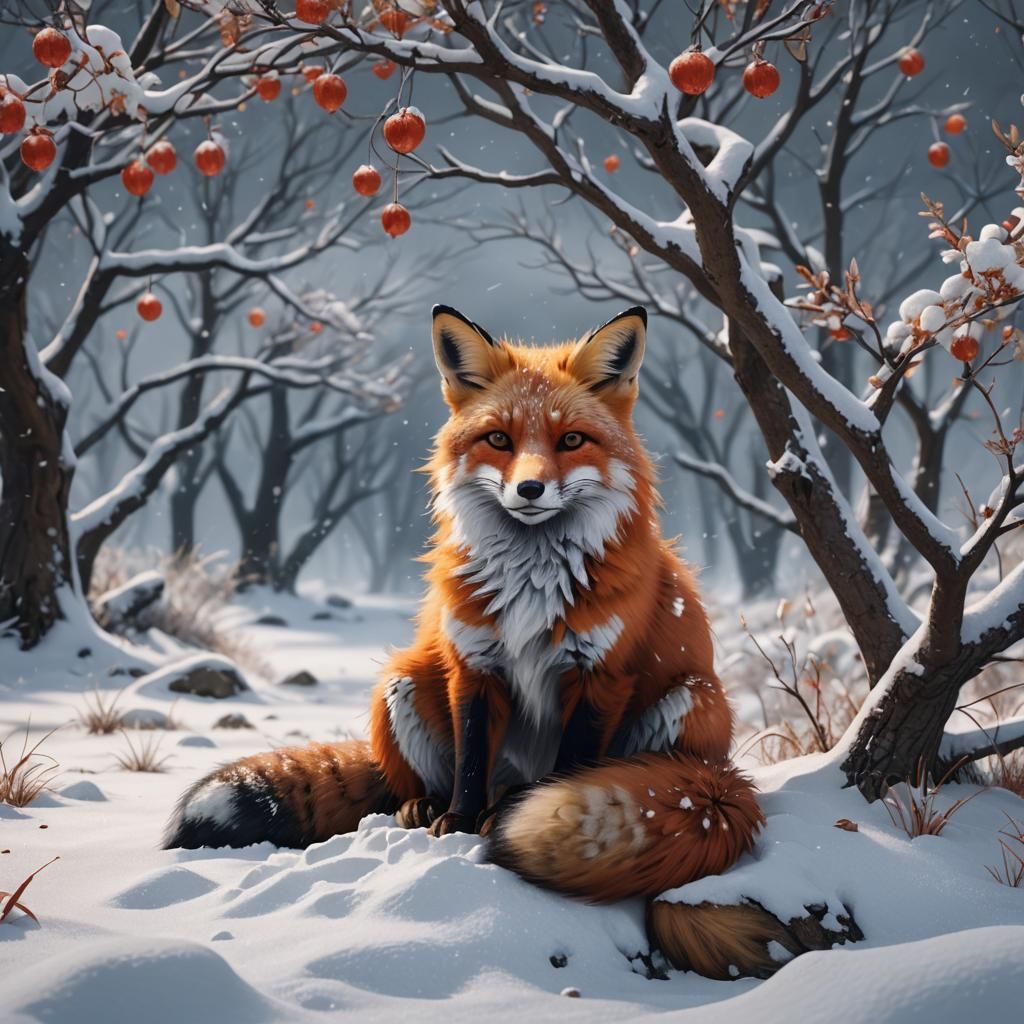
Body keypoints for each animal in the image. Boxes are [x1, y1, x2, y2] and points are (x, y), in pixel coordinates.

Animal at [164, 304, 768, 978]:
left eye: (571, 441)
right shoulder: (473, 665)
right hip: (401, 681)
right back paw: (424, 807)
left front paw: (514, 819)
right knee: (416, 781)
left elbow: (570, 765)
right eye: (499, 440)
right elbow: (471, 753)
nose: (529, 490)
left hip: (693, 700)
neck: (533, 583)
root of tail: (723, 779)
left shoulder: (599, 675)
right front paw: (457, 822)